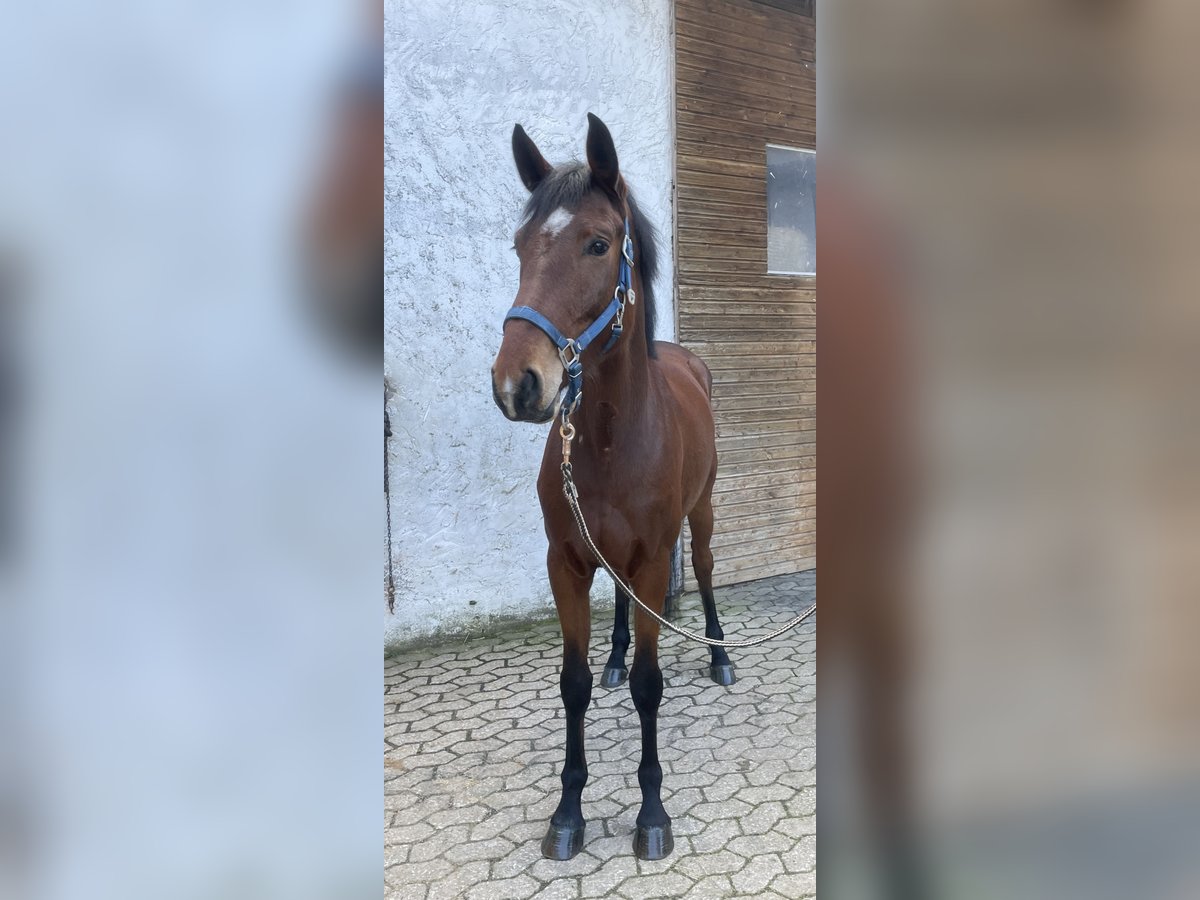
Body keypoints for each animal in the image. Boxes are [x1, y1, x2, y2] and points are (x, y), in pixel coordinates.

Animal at [492, 116, 734, 864]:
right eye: (520, 246)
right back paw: (616, 660)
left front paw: (651, 812)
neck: (606, 439)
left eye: (598, 243)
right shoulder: (565, 563)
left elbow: (653, 690)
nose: (517, 384)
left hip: (701, 515)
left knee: (706, 571)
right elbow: (571, 686)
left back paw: (720, 655)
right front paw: (568, 811)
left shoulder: (656, 560)